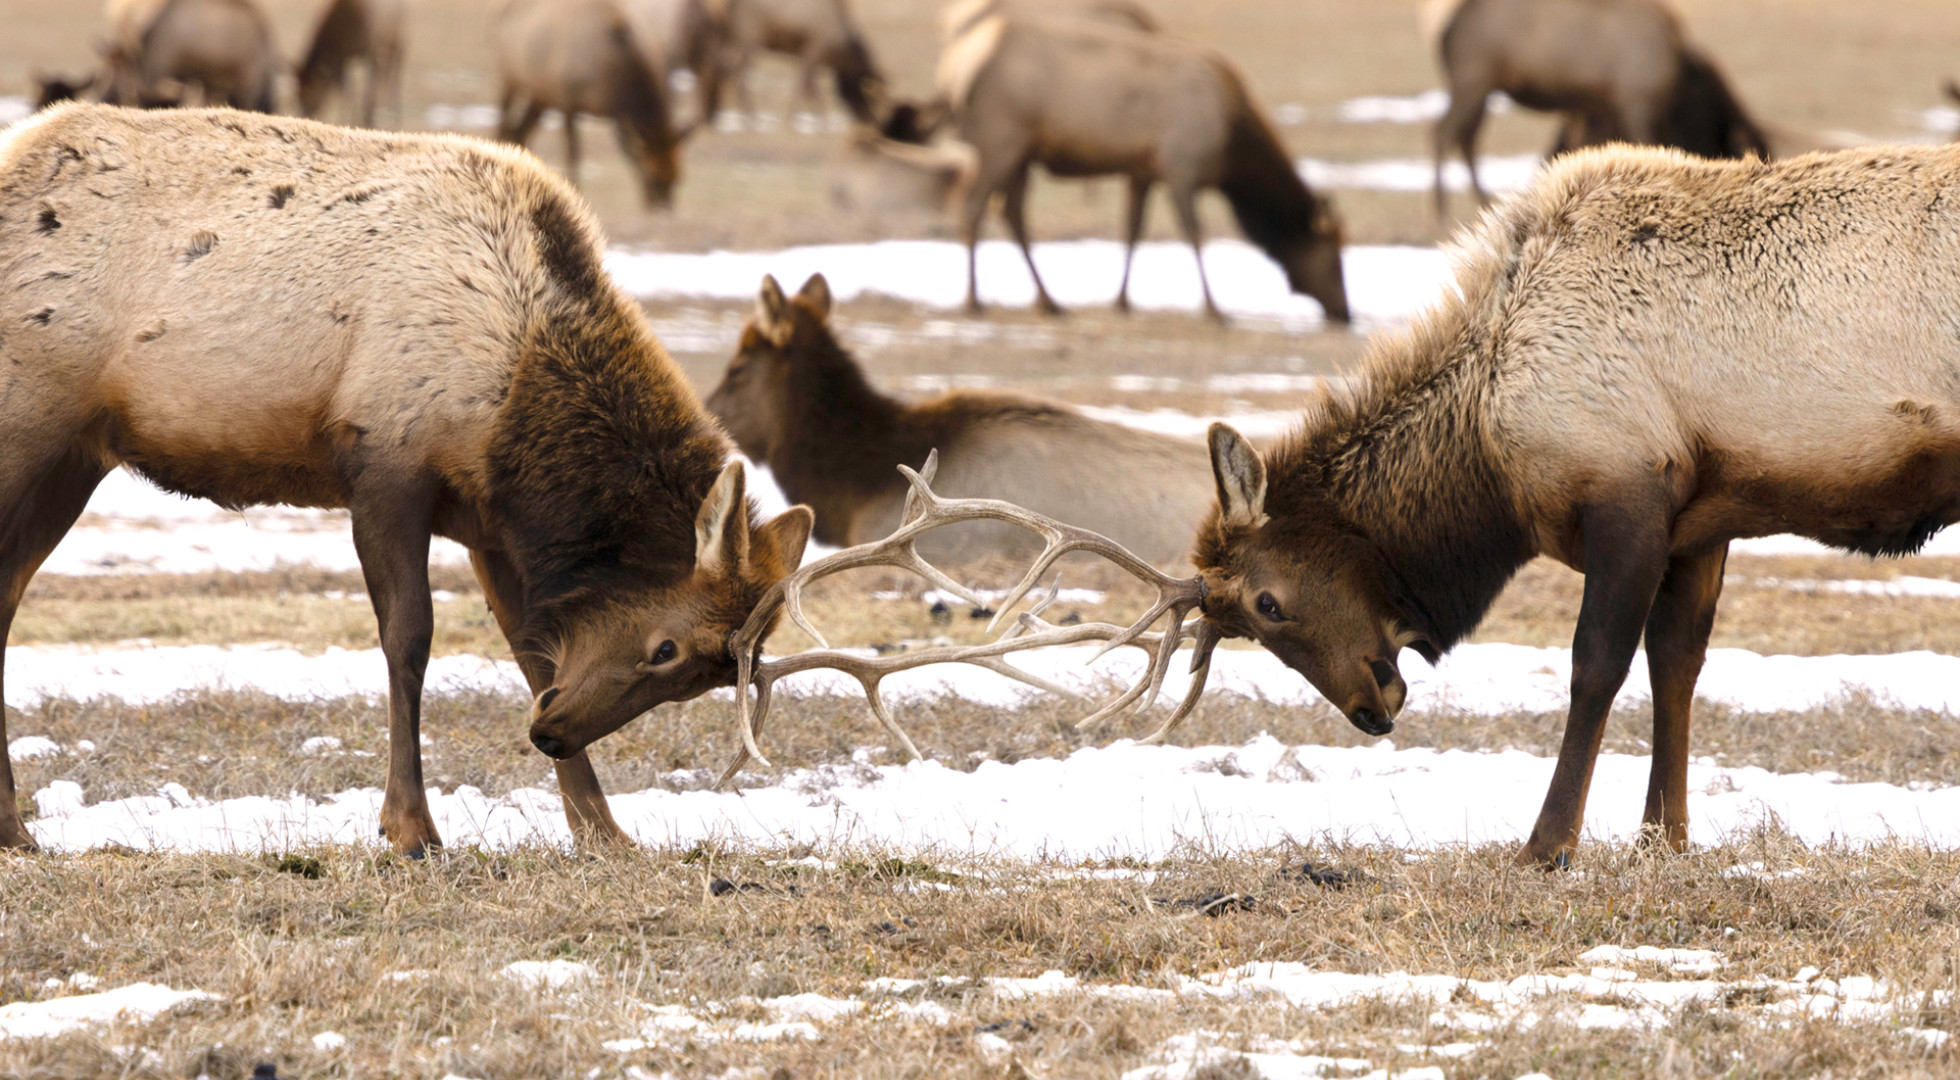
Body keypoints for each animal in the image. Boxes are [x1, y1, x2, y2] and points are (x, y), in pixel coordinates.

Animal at [297, 0, 408, 129]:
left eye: (309, 91)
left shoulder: (369, 49)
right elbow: (347, 90)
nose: (305, 114)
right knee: (385, 74)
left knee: (394, 75)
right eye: (297, 93)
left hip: (398, 45)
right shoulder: (346, 56)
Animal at [495, 0, 694, 208]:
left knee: (519, 132)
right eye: (652, 177)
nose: (663, 209)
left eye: (678, 177)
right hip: (508, 80)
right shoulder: (567, 101)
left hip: (540, 96)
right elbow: (573, 153)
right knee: (503, 127)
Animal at [937, 12, 1348, 323]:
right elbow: (1193, 232)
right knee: (972, 204)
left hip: (1021, 154)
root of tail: (955, 71)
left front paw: (1121, 301)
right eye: (1332, 259)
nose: (1346, 313)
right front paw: (1214, 309)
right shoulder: (1181, 164)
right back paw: (974, 301)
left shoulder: (1144, 171)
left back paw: (1050, 302)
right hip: (997, 141)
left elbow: (1132, 230)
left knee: (1011, 213)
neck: (1230, 148)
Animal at [1424, 0, 1767, 218]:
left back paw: (1480, 204)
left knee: (1465, 137)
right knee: (1443, 131)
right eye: (1733, 151)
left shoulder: (1597, 109)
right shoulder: (1634, 103)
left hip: (1482, 87)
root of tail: (1445, 31)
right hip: (1472, 80)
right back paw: (1442, 212)